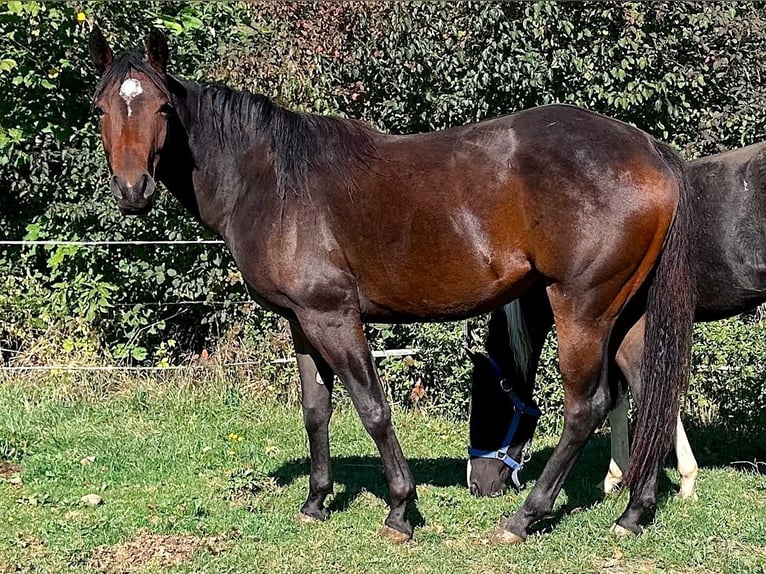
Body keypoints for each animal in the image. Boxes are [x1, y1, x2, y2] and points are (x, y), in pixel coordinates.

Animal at [88, 27, 695, 542]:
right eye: (100, 108)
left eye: (163, 107)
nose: (133, 190)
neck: (271, 181)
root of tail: (652, 151)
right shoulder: (303, 322)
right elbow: (315, 409)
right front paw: (316, 502)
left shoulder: (334, 316)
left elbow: (372, 408)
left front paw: (401, 509)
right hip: (626, 311)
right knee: (651, 392)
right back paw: (634, 513)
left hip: (582, 309)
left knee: (585, 407)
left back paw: (524, 517)